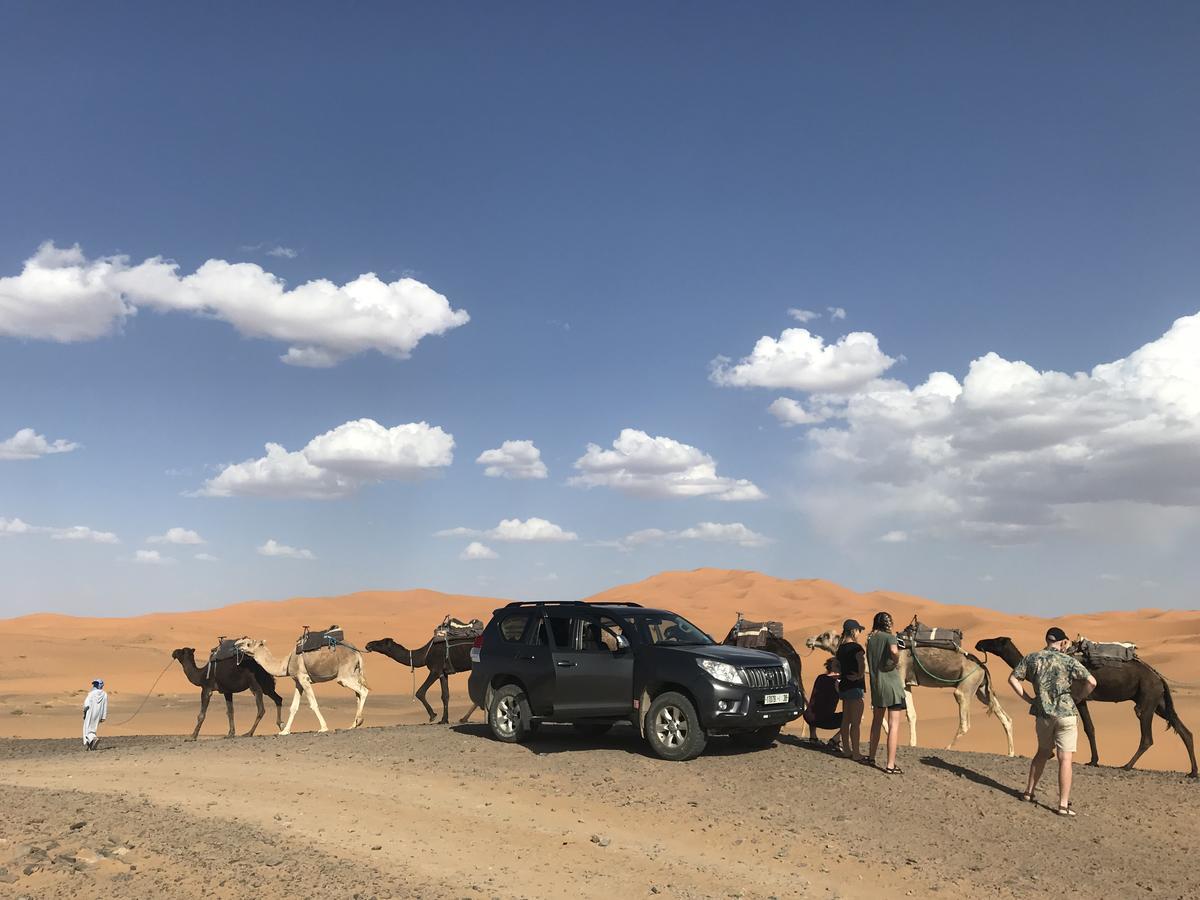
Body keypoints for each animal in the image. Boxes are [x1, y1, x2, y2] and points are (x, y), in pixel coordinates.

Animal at [232, 638, 364, 734]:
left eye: (248, 643)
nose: (236, 644)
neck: (286, 663)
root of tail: (357, 653)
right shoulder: (297, 682)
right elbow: (294, 707)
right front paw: (285, 731)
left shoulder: (303, 678)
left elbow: (314, 704)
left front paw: (323, 728)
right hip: (354, 672)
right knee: (358, 694)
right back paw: (354, 724)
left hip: (344, 676)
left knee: (363, 691)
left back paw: (358, 721)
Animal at [806, 628, 1012, 763]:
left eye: (825, 635)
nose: (809, 640)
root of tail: (983, 667)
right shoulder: (906, 684)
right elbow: (911, 714)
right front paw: (912, 743)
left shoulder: (897, 677)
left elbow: (880, 708)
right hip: (982, 689)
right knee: (1006, 718)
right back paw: (1010, 753)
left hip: (966, 687)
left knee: (965, 722)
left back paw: (946, 748)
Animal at [969, 638, 1195, 777]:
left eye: (996, 641)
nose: (979, 643)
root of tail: (1159, 678)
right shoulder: (1082, 700)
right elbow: (1090, 728)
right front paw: (1093, 760)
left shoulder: (1077, 698)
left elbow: (1086, 728)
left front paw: (1088, 759)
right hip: (1159, 702)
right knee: (1184, 730)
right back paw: (1193, 772)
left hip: (1147, 698)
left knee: (1147, 735)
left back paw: (1127, 765)